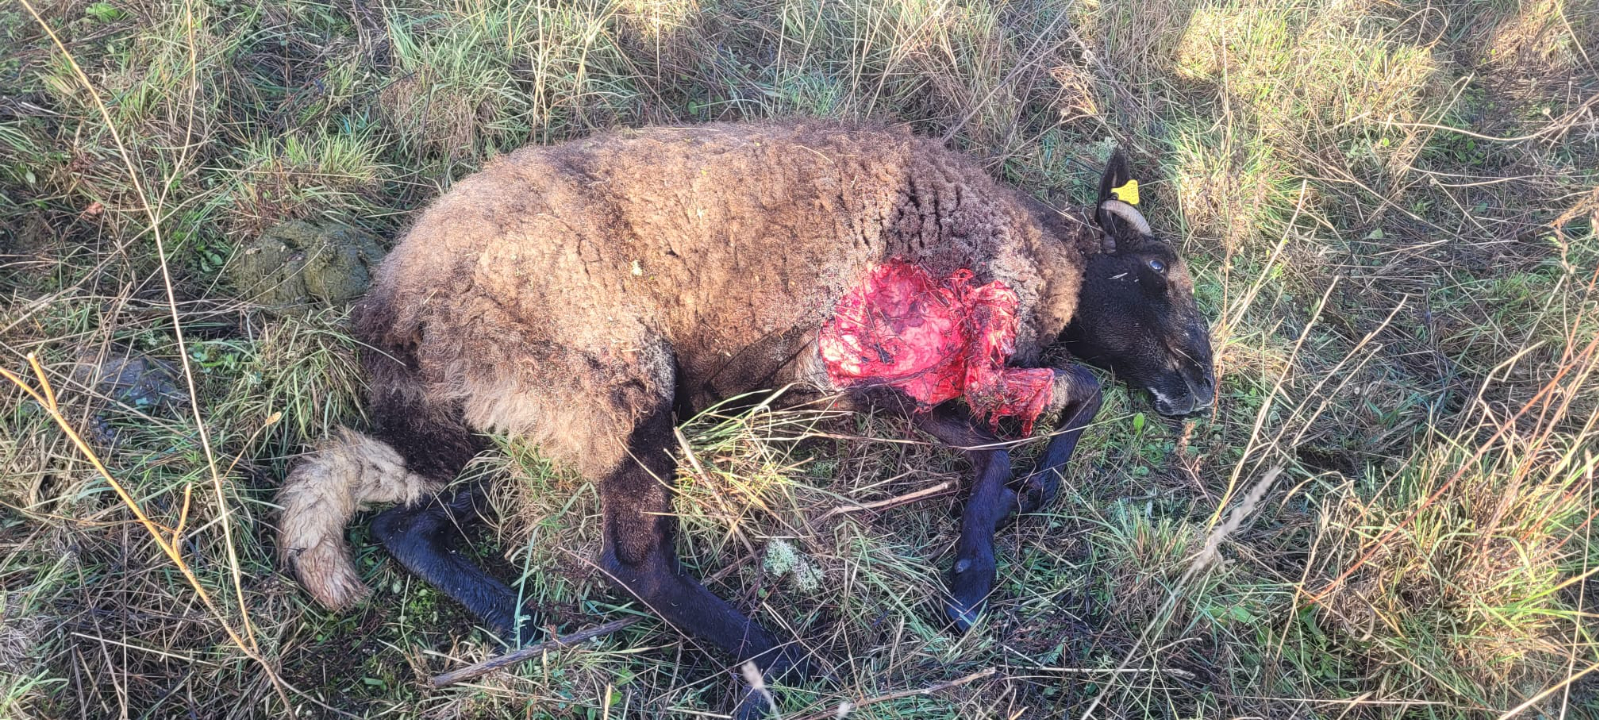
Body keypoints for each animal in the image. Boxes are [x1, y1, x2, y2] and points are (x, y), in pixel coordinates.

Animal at [275, 120, 1215, 718]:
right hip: (618, 387)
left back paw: (531, 628)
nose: (1201, 390)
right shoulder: (860, 377)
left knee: (409, 522)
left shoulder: (882, 387)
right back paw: (774, 667)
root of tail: (391, 316)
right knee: (634, 563)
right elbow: (1030, 422)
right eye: (1156, 271)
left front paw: (1022, 508)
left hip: (526, 420)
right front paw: (974, 572)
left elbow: (1058, 402)